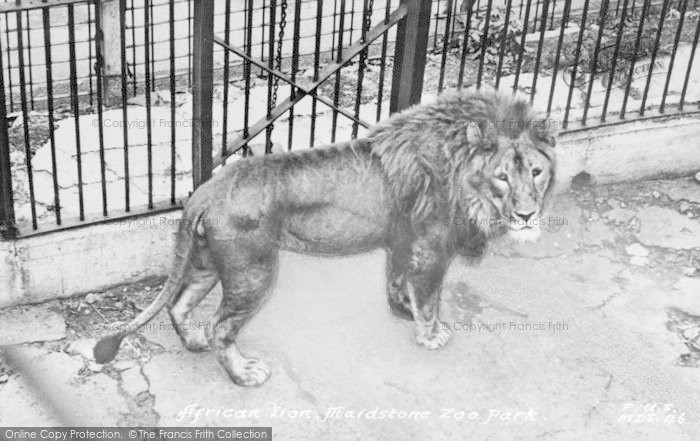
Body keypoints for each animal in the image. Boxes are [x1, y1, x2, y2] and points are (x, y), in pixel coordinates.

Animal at [95, 89, 556, 384]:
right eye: (502, 176)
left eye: (536, 171)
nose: (527, 215)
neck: (462, 172)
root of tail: (208, 188)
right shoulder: (431, 248)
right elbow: (429, 298)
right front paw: (430, 335)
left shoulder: (404, 240)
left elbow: (397, 280)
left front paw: (401, 310)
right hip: (252, 270)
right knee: (221, 325)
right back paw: (243, 373)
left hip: (211, 261)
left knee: (179, 303)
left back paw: (193, 342)